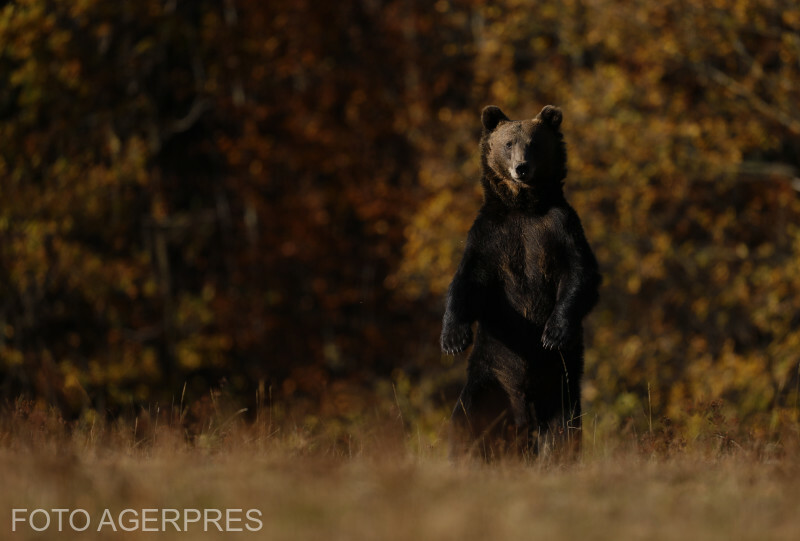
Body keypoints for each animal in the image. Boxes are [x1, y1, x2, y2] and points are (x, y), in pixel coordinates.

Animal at [444, 103, 600, 458]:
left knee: (564, 427)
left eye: (535, 143)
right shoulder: (490, 237)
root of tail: (522, 417)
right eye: (508, 144)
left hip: (560, 381)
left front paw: (553, 333)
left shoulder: (560, 228)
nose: (521, 168)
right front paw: (453, 338)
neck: (524, 208)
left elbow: (581, 273)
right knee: (466, 417)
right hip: (492, 374)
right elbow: (466, 283)